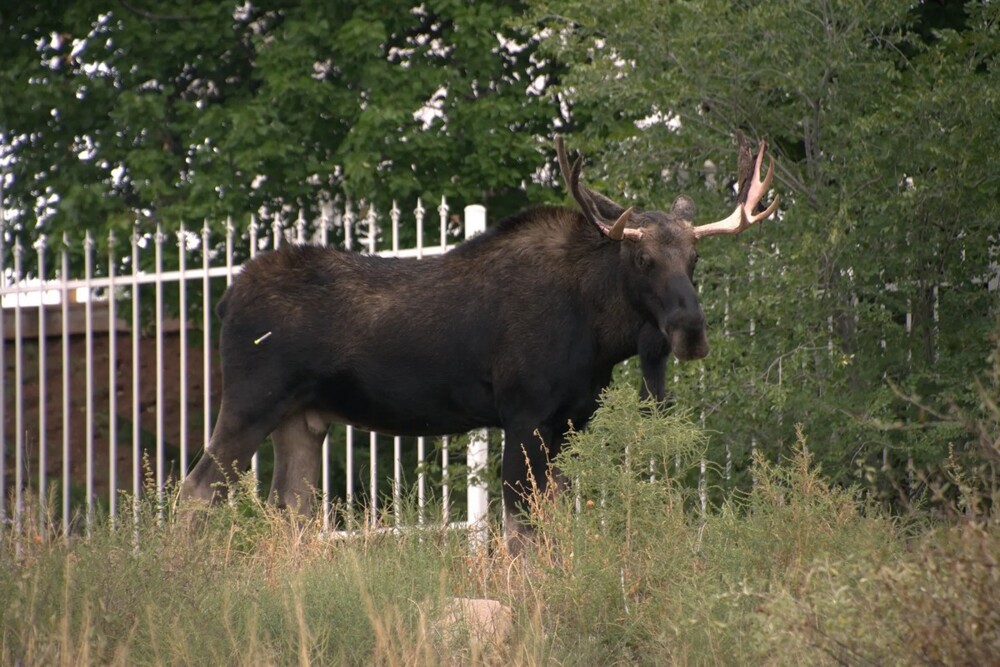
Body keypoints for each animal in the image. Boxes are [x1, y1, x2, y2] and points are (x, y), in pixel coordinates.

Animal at [176, 137, 776, 548]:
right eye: (643, 258)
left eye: (694, 258)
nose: (690, 331)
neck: (601, 334)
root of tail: (225, 302)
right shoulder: (523, 413)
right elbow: (517, 533)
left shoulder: (569, 421)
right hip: (251, 402)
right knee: (196, 491)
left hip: (303, 418)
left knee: (290, 510)